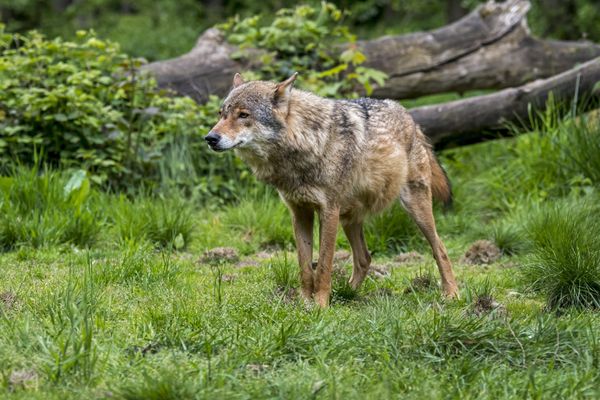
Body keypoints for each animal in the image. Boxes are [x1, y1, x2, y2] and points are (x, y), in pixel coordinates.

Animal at [206, 73, 460, 308]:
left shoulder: (328, 211)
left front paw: (320, 306)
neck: (307, 142)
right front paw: (304, 303)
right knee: (364, 258)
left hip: (414, 208)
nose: (210, 138)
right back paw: (347, 293)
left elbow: (324, 265)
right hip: (349, 218)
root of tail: (409, 116)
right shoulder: (300, 213)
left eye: (243, 115)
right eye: (221, 114)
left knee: (440, 248)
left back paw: (451, 294)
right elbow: (305, 266)